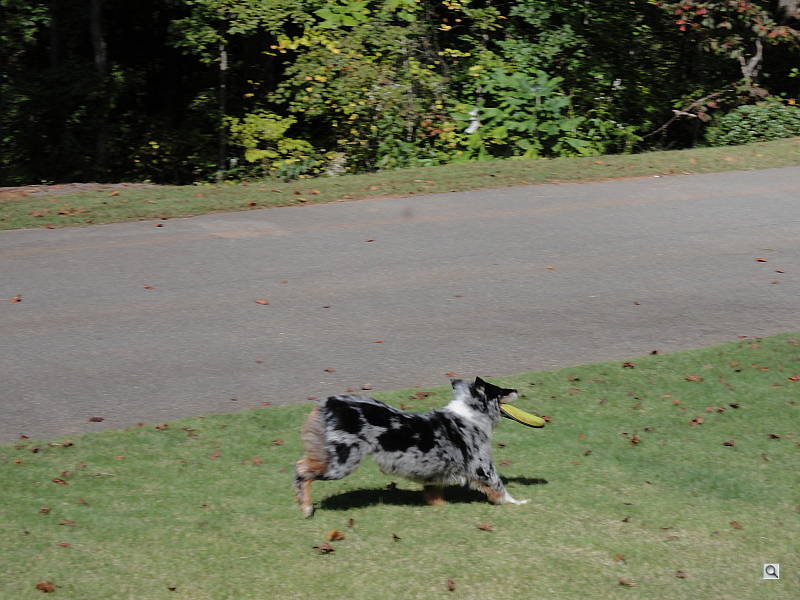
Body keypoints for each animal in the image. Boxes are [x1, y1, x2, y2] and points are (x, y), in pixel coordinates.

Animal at [294, 377, 530, 517]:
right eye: (500, 390)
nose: (517, 389)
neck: (471, 415)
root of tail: (332, 402)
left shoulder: (434, 473)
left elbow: (434, 493)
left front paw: (440, 508)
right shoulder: (481, 467)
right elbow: (499, 488)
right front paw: (518, 502)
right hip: (342, 462)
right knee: (301, 469)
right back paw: (306, 507)